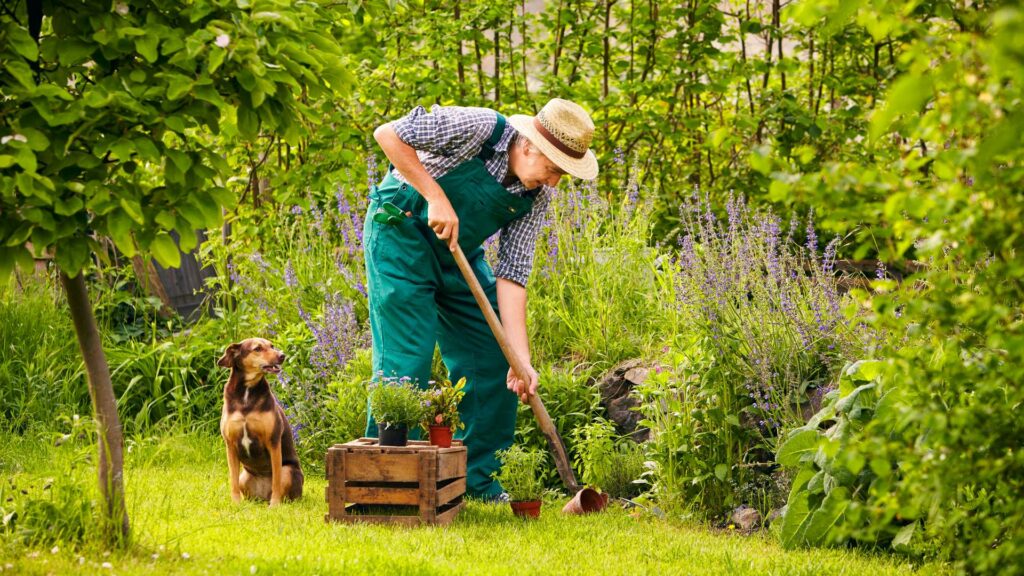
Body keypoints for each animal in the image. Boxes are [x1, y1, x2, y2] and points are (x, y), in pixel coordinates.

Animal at [218, 336, 301, 502]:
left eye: (272, 346)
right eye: (257, 348)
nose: (282, 355)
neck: (247, 391)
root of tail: (263, 496)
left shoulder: (273, 442)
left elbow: (276, 481)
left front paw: (275, 505)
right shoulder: (230, 445)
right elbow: (232, 481)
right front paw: (235, 503)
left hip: (287, 471)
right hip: (244, 477)